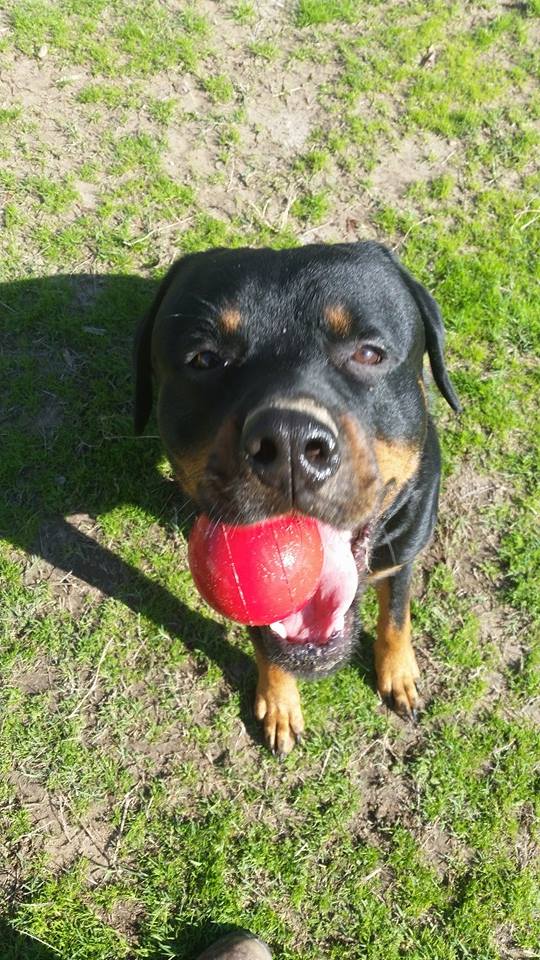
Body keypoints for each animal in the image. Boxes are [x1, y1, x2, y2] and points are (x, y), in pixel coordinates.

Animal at [135, 238, 460, 752]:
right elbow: (265, 639)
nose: (288, 442)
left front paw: (398, 673)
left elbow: (396, 615)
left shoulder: (403, 550)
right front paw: (279, 703)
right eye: (204, 359)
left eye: (369, 353)